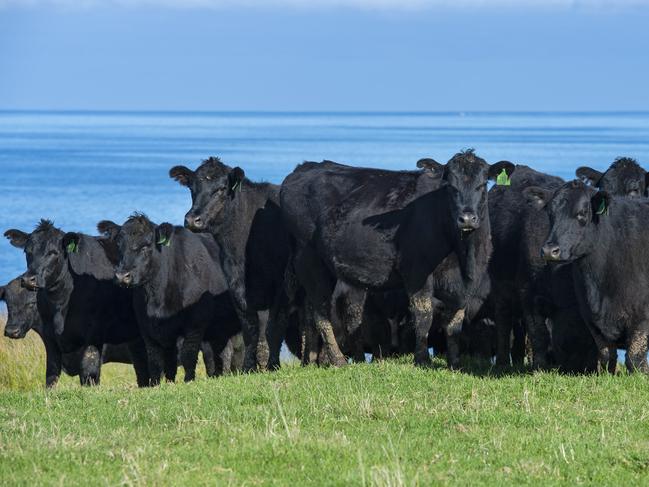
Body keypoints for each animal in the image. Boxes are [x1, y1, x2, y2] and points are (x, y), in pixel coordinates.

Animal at [4, 223, 148, 386]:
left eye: (53, 252)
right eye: (27, 251)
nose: (29, 279)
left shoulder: (93, 339)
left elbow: (88, 374)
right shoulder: (50, 339)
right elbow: (51, 375)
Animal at [100, 214, 242, 386]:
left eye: (145, 246)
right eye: (119, 246)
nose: (122, 276)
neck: (157, 299)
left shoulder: (195, 323)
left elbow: (188, 355)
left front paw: (188, 380)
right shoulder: (148, 328)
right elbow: (158, 360)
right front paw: (159, 384)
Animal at [170, 158, 288, 372]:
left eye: (221, 189)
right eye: (192, 188)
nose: (192, 220)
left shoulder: (281, 286)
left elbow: (273, 329)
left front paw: (272, 365)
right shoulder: (236, 285)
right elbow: (250, 330)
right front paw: (249, 367)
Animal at [278, 151, 512, 368]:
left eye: (482, 185)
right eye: (450, 186)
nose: (467, 218)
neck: (464, 256)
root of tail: (303, 168)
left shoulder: (464, 285)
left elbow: (455, 322)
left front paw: (454, 362)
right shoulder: (417, 271)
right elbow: (424, 315)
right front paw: (422, 360)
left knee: (309, 311)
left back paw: (311, 360)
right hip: (309, 259)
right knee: (321, 311)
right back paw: (337, 360)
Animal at [524, 181, 648, 376]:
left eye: (582, 213)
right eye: (550, 213)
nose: (550, 250)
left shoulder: (642, 317)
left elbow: (634, 358)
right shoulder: (591, 317)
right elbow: (606, 356)